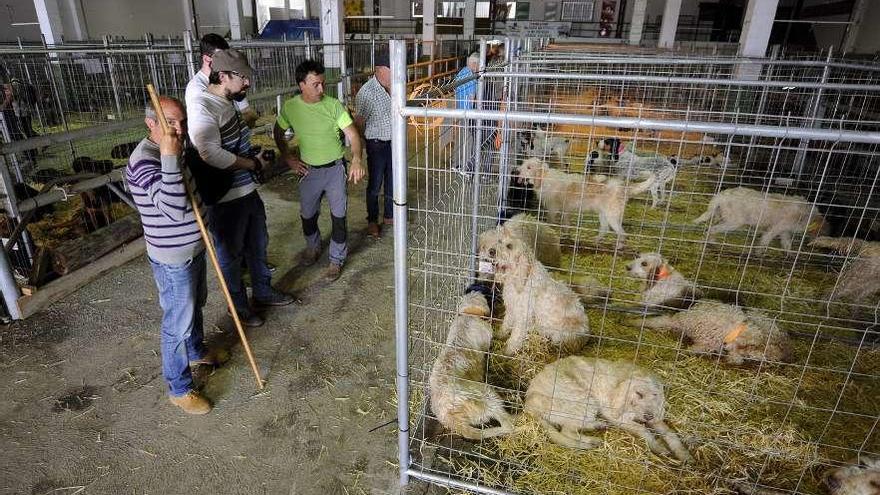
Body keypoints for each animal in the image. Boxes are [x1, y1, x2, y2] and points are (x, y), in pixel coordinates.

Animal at [520, 159, 656, 244]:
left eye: (529, 167)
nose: (517, 171)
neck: (545, 177)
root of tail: (624, 187)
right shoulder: (566, 210)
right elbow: (566, 225)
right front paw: (565, 235)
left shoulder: (553, 209)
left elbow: (552, 223)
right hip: (603, 215)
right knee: (605, 229)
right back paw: (595, 241)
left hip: (612, 216)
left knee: (622, 234)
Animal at [524, 356, 696, 464]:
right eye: (639, 394)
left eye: (655, 395)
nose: (648, 416)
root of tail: (529, 404)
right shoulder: (616, 416)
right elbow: (643, 429)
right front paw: (658, 446)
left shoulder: (655, 419)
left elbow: (670, 433)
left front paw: (684, 454)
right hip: (584, 400)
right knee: (568, 431)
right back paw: (592, 440)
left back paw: (597, 425)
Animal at [692, 187, 828, 252]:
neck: (804, 215)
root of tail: (720, 196)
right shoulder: (777, 227)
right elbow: (766, 239)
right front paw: (759, 253)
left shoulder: (785, 230)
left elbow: (786, 243)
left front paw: (789, 255)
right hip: (733, 222)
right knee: (711, 229)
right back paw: (708, 243)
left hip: (719, 216)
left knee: (710, 227)